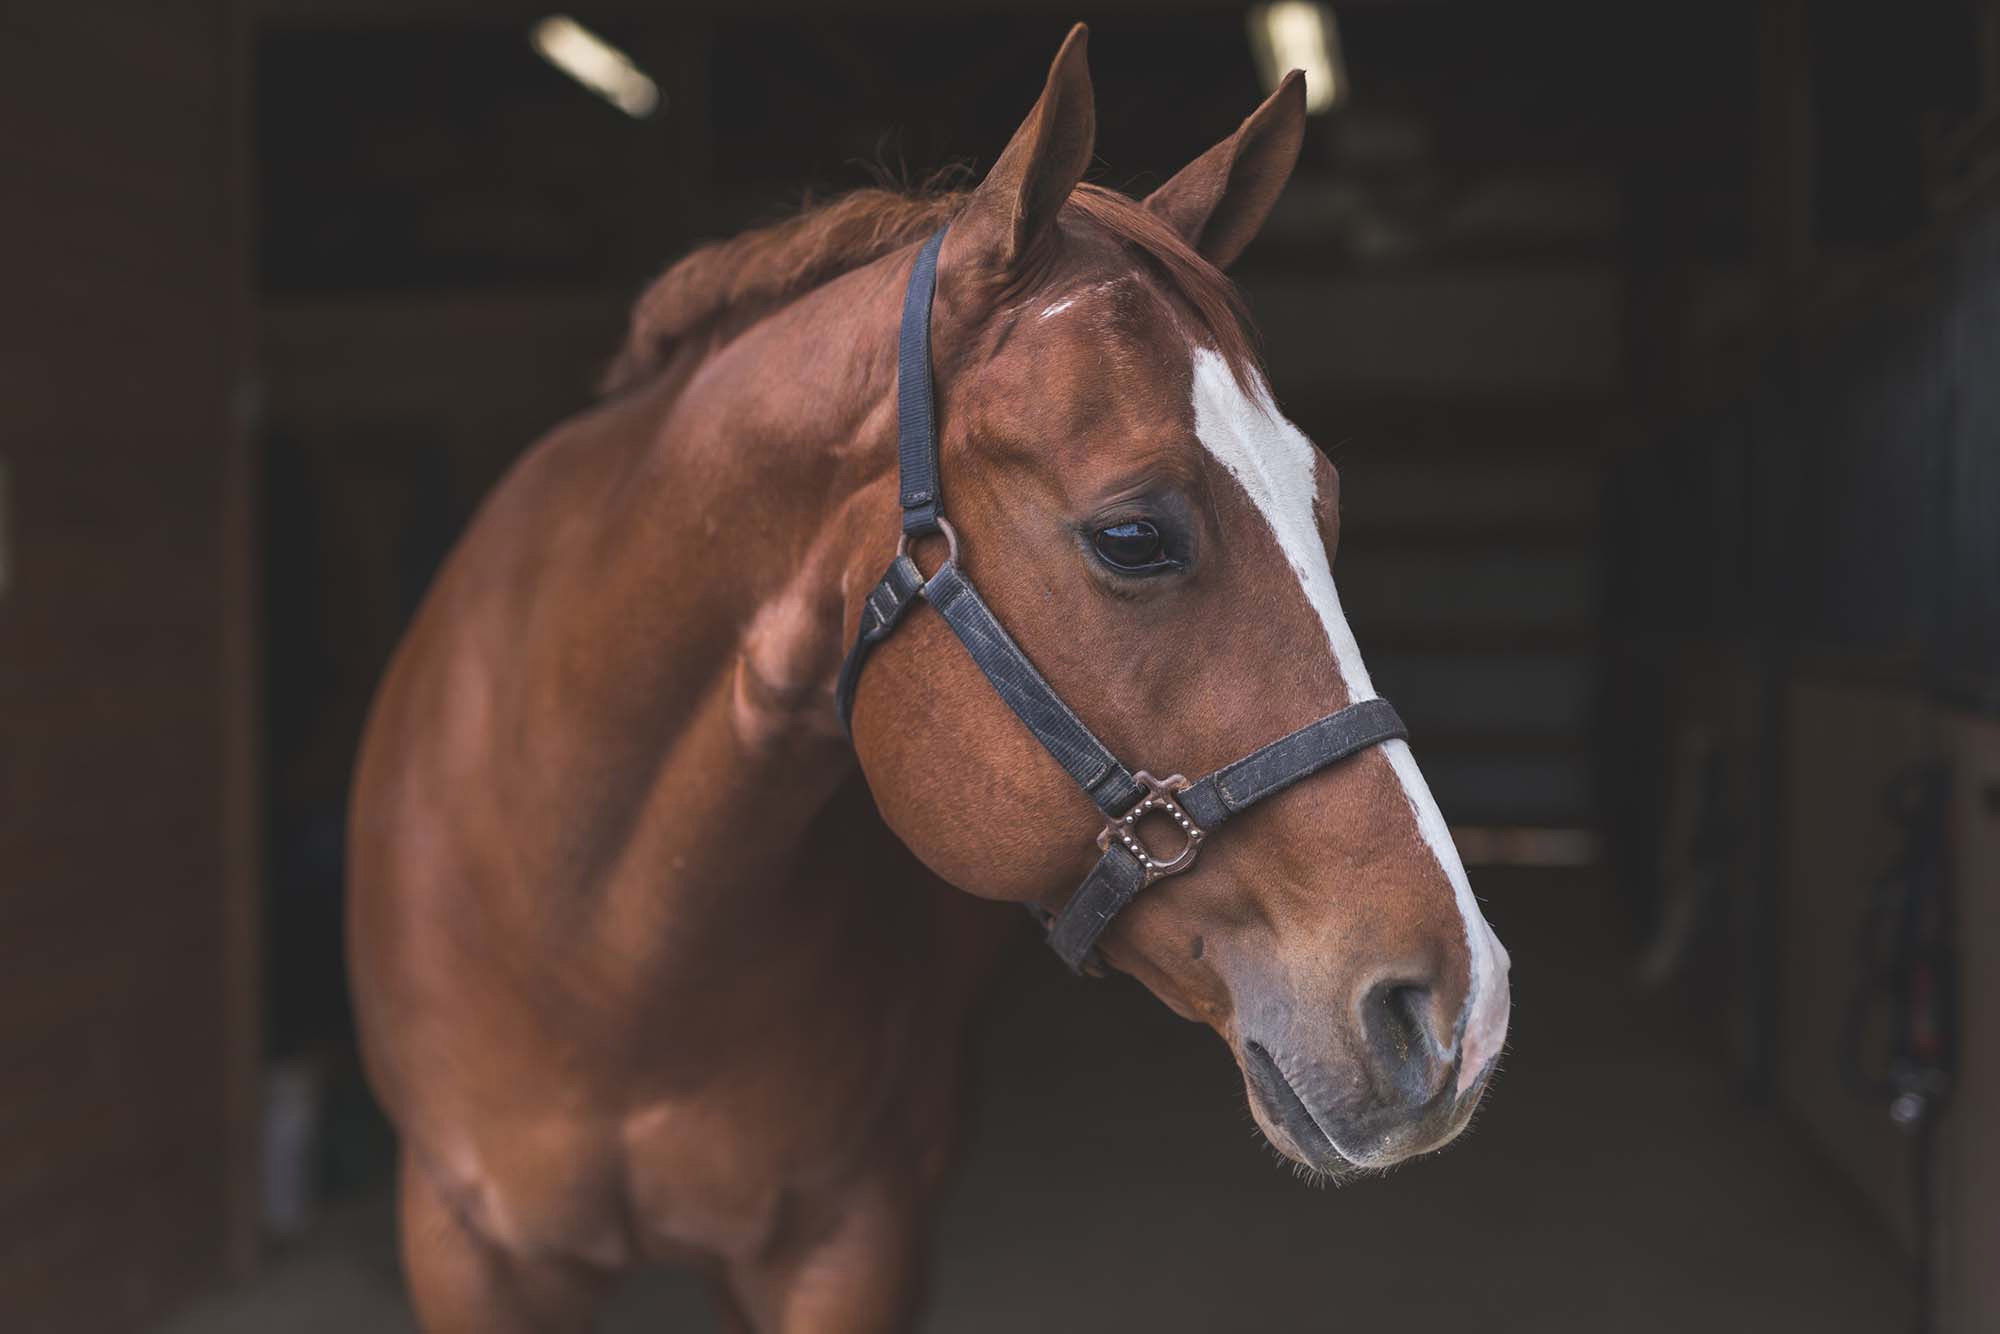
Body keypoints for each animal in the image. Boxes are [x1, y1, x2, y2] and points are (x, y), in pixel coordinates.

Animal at [347, 25, 1511, 1333]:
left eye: (1323, 504)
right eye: (1131, 536)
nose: (1458, 1011)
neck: (603, 941)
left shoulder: (852, 1240)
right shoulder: (468, 1248)